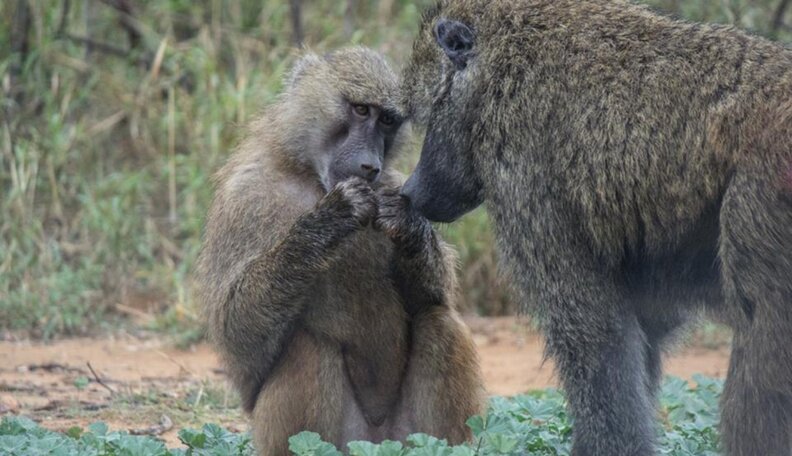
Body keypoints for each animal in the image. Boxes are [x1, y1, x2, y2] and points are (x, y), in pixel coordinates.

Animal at [195, 47, 484, 455]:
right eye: (361, 110)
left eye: (388, 121)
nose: (370, 165)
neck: (309, 176)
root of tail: (376, 441)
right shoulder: (245, 197)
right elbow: (235, 334)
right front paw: (330, 220)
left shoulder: (394, 184)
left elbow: (431, 296)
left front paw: (407, 224)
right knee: (309, 345)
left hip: (407, 437)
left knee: (438, 319)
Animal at [399, 1, 792, 455]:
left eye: (430, 115)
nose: (410, 189)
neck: (504, 68)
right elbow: (648, 324)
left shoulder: (524, 176)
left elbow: (595, 335)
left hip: (764, 197)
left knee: (763, 348)